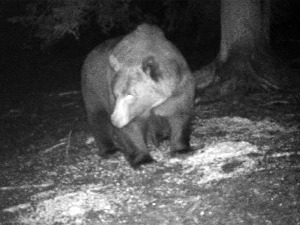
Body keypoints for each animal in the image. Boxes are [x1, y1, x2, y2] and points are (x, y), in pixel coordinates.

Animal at [81, 23, 196, 168]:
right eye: (116, 94)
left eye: (130, 95)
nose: (115, 119)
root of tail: (91, 52)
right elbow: (131, 127)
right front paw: (144, 160)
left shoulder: (179, 88)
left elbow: (180, 114)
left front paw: (181, 149)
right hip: (93, 89)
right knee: (98, 116)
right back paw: (110, 150)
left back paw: (162, 137)